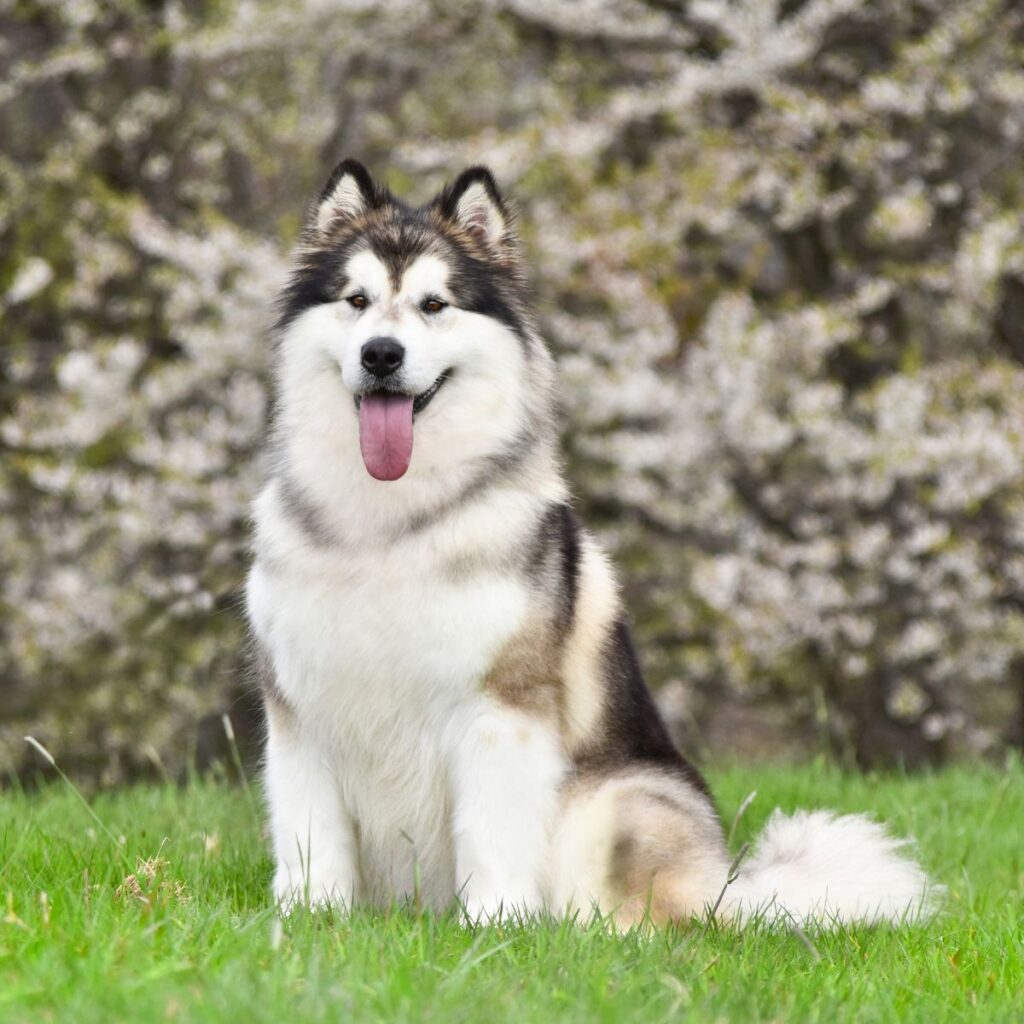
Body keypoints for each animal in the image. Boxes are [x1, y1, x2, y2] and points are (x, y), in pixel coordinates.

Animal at [245, 157, 937, 929]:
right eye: (357, 300)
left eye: (434, 304)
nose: (381, 354)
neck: (391, 522)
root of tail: (728, 889)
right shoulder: (300, 711)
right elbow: (310, 833)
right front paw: (307, 920)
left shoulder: (500, 708)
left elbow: (490, 831)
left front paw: (494, 926)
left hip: (617, 798)